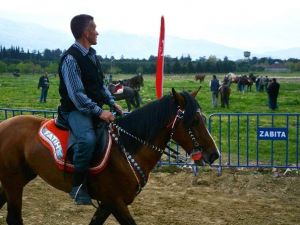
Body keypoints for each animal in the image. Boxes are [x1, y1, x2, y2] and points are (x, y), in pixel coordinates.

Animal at [0, 88, 220, 225]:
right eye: (193, 121)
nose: (214, 154)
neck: (125, 150)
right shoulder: (115, 201)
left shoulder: (108, 203)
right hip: (13, 181)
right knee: (14, 218)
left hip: (18, 179)